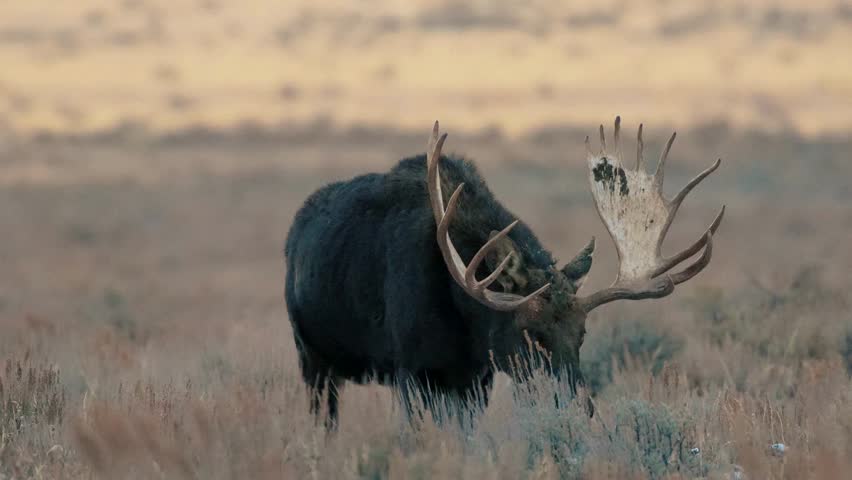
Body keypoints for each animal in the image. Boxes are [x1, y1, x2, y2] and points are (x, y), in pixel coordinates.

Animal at [284, 117, 724, 427]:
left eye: (582, 334)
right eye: (530, 334)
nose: (580, 408)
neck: (464, 321)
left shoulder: (477, 378)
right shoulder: (410, 370)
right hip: (313, 360)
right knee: (325, 420)